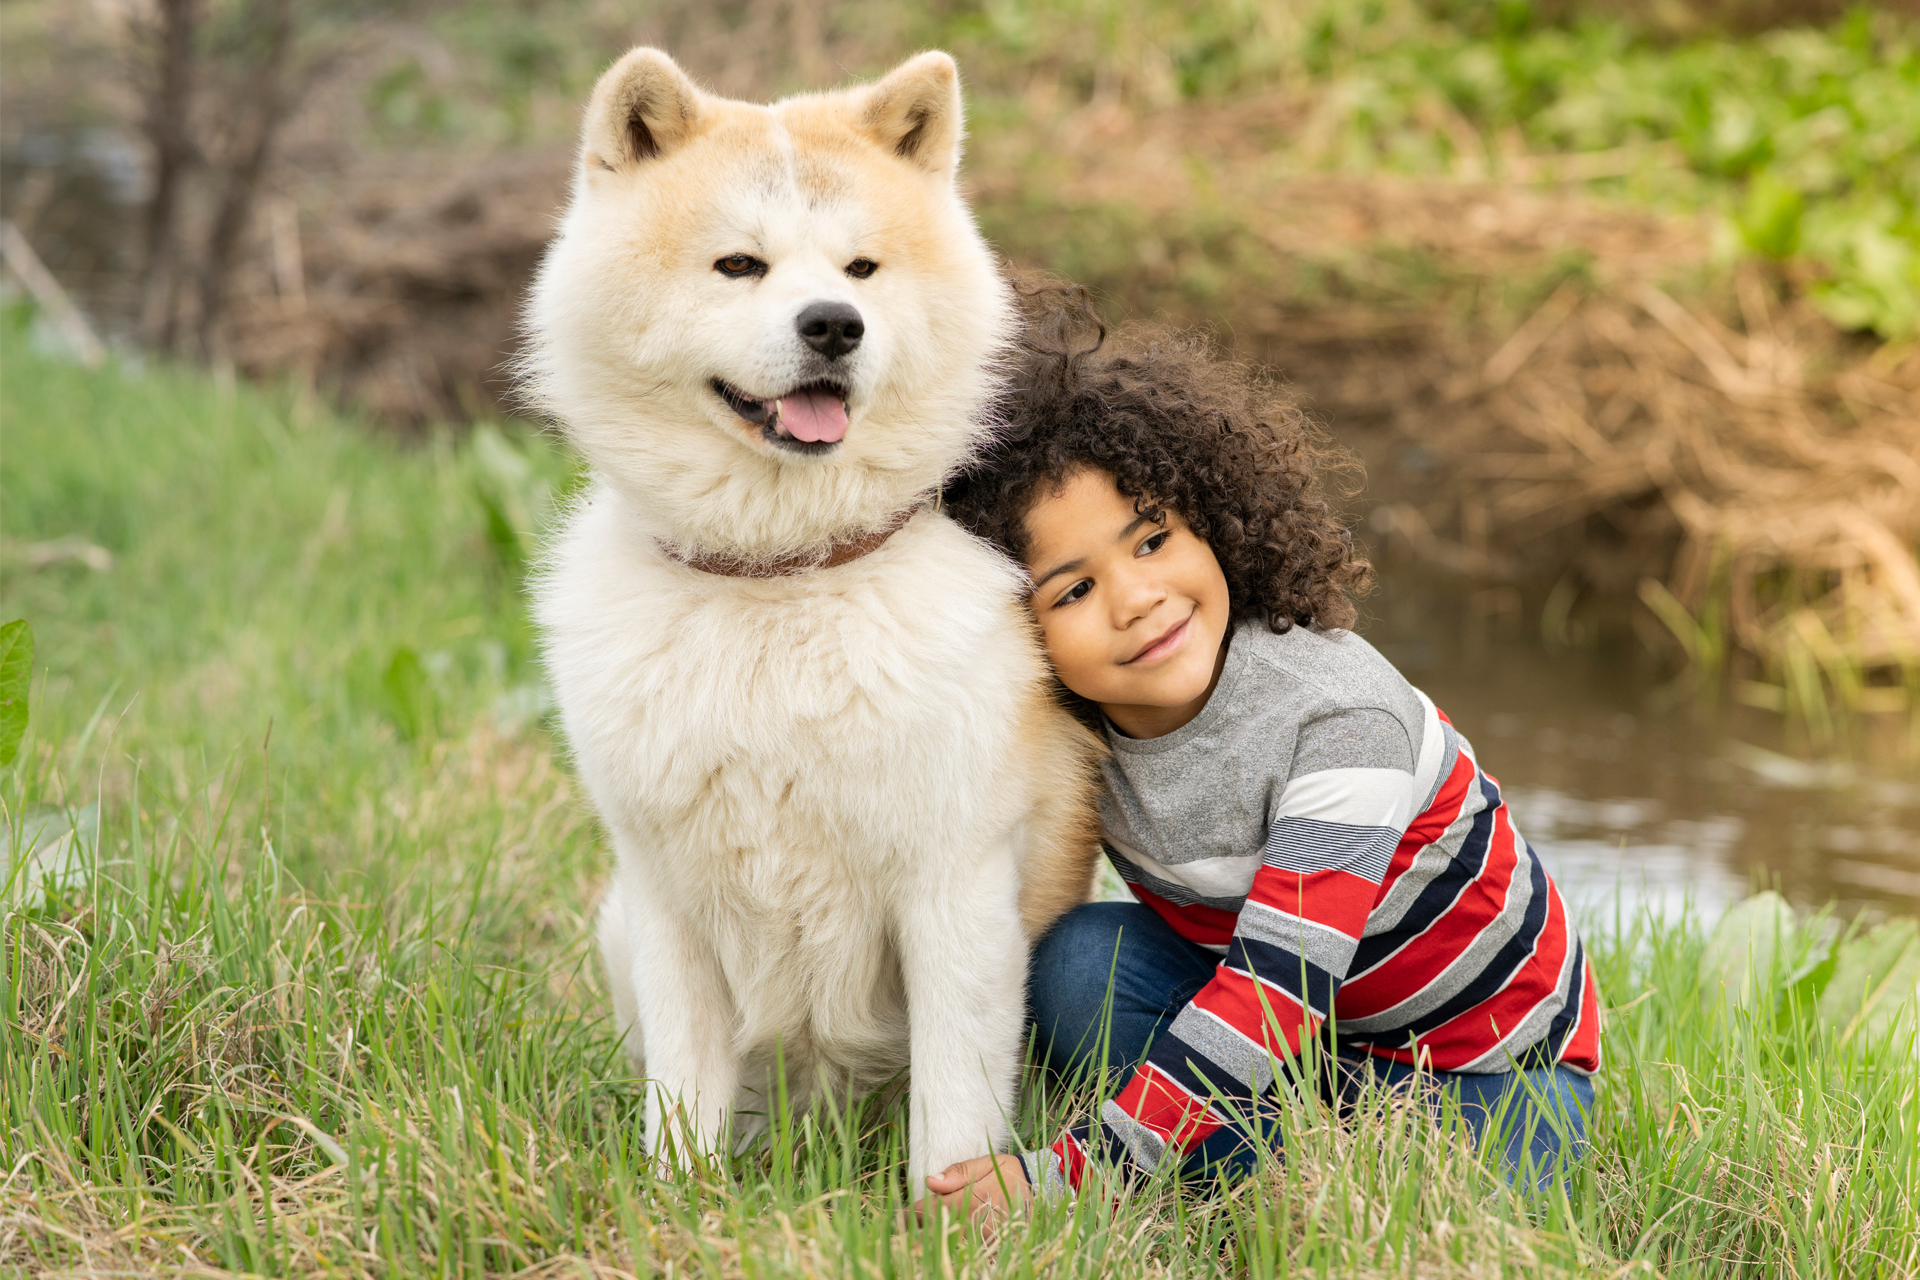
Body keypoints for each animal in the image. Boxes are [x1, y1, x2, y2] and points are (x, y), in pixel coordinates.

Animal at [522, 50, 1098, 1189]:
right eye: (739, 264)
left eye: (862, 268)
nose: (834, 322)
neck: (777, 577)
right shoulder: (667, 897)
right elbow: (682, 1098)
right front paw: (681, 1202)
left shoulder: (954, 889)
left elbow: (952, 1118)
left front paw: (953, 1210)